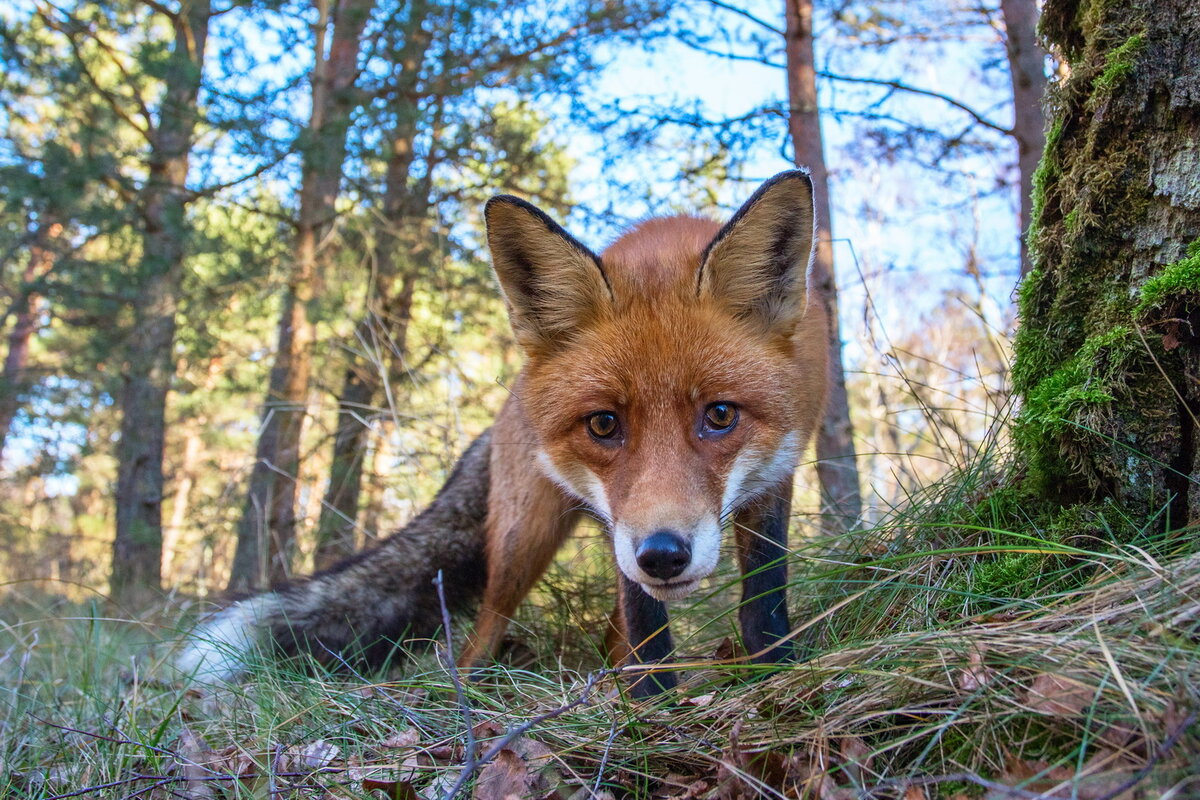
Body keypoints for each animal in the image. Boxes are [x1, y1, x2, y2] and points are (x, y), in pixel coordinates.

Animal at [177, 172, 830, 695]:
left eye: (719, 416)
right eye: (603, 423)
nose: (663, 556)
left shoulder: (775, 473)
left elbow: (764, 598)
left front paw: (776, 675)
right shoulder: (622, 524)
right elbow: (645, 622)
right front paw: (652, 707)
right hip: (526, 540)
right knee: (480, 634)